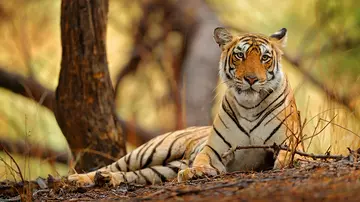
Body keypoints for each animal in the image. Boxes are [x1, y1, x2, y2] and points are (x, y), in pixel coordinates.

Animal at [67, 26, 300, 186]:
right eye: (240, 55)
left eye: (265, 58)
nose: (251, 79)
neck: (249, 107)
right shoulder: (214, 150)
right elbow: (202, 160)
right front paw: (196, 171)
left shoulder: (289, 142)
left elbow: (290, 155)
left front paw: (289, 163)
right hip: (148, 151)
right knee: (114, 165)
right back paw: (79, 179)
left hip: (161, 170)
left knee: (131, 175)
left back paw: (107, 179)